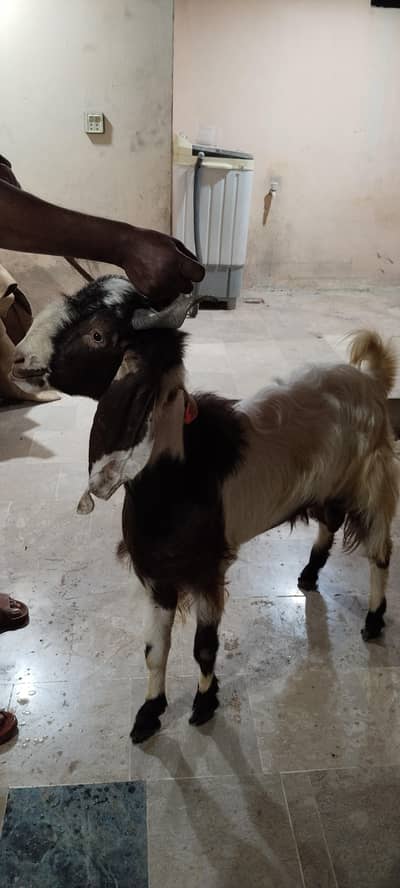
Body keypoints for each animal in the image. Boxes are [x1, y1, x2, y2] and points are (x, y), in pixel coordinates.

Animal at [12, 276, 399, 742]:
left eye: (98, 334)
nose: (18, 359)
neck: (177, 472)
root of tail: (371, 380)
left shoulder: (207, 572)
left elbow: (204, 649)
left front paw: (204, 703)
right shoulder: (156, 575)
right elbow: (155, 650)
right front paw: (149, 713)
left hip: (372, 481)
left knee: (380, 551)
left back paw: (374, 619)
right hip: (330, 482)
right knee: (330, 522)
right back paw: (308, 575)